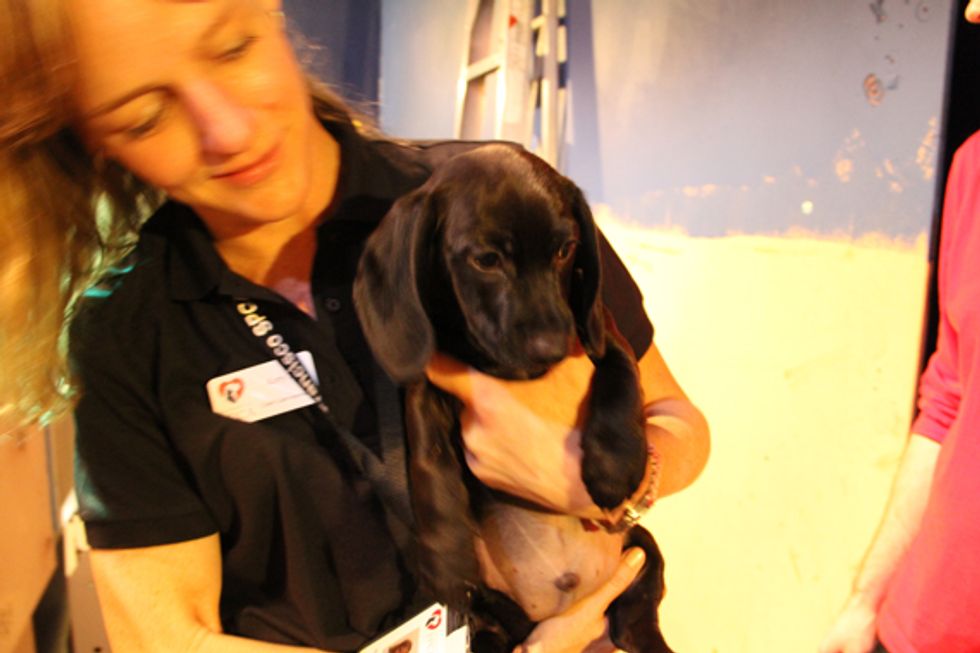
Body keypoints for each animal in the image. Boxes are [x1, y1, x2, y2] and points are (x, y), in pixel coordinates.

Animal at [353, 144, 673, 653]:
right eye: (486, 260)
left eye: (565, 250)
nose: (551, 347)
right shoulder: (425, 386)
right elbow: (428, 463)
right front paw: (445, 556)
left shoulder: (602, 331)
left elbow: (621, 380)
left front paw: (614, 465)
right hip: (494, 613)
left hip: (641, 547)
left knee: (636, 618)